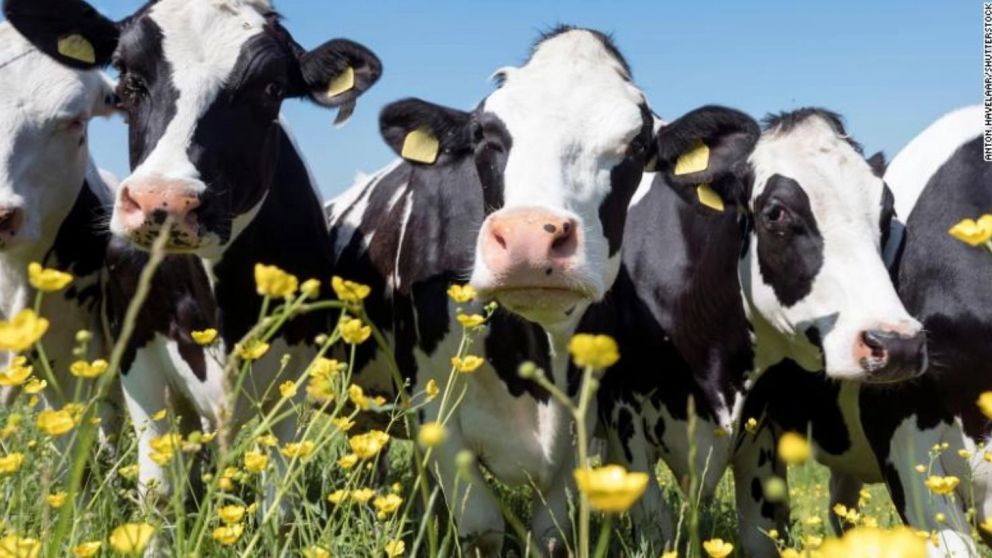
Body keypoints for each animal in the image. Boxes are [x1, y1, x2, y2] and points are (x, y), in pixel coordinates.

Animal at [327, 25, 759, 556]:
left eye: (637, 144)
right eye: (484, 134)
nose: (529, 239)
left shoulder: (582, 423)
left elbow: (549, 535)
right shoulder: (435, 408)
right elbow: (482, 529)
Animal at [581, 108, 927, 556]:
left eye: (886, 212)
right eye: (776, 212)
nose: (898, 344)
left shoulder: (759, 432)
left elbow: (759, 537)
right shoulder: (624, 423)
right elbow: (658, 529)